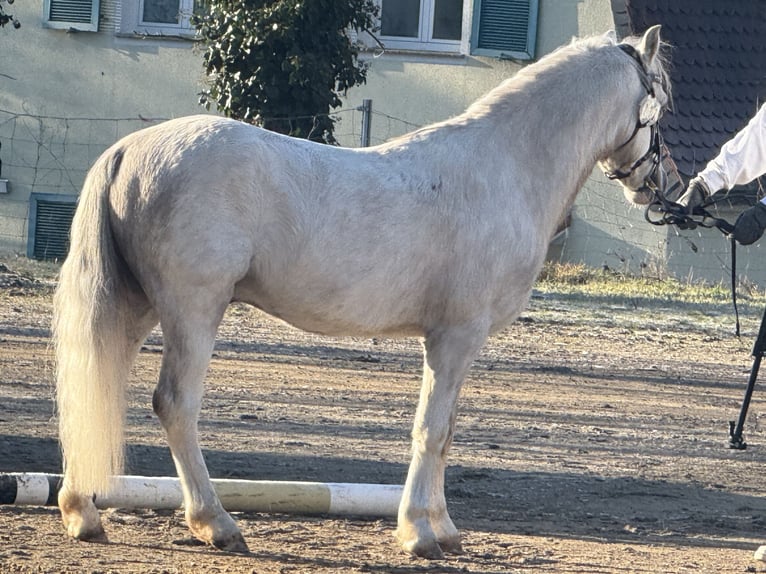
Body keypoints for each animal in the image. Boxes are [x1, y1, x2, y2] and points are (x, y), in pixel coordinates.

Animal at [52, 24, 672, 560]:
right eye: (661, 104)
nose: (658, 189)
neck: (504, 168)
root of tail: (128, 150)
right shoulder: (455, 337)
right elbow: (432, 430)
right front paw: (418, 534)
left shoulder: (454, 344)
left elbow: (446, 431)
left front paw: (444, 529)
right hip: (193, 310)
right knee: (175, 404)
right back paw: (216, 524)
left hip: (138, 307)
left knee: (96, 379)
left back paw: (83, 512)